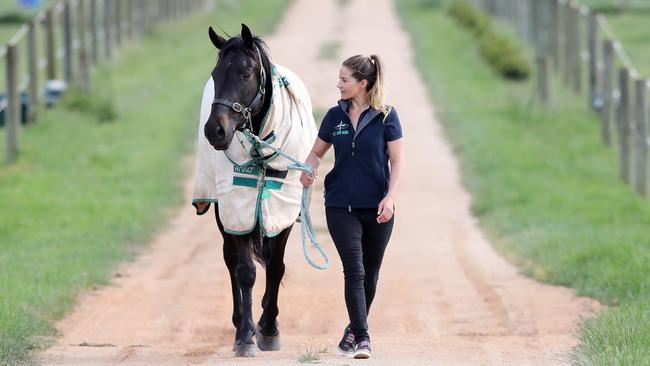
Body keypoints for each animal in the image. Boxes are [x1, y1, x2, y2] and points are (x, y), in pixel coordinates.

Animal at [201, 24, 292, 356]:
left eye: (245, 73)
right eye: (215, 75)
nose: (215, 130)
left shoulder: (282, 207)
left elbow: (275, 266)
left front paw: (270, 328)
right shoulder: (236, 209)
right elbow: (245, 272)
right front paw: (245, 335)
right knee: (231, 261)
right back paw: (242, 320)